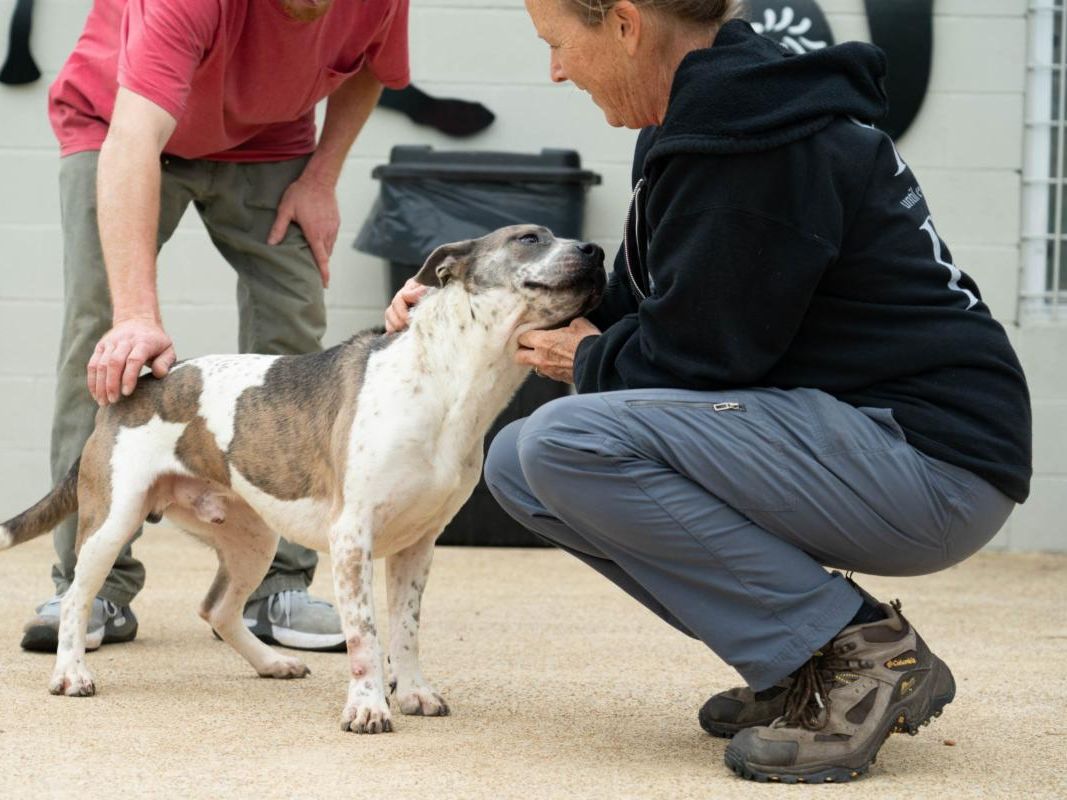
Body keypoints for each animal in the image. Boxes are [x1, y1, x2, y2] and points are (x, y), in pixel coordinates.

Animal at [1, 224, 605, 733]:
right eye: (529, 238)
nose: (597, 250)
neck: (449, 380)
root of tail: (138, 386)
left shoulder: (419, 545)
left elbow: (405, 629)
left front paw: (412, 692)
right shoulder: (353, 538)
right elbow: (365, 635)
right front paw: (368, 706)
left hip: (253, 538)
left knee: (217, 609)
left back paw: (271, 663)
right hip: (114, 521)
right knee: (76, 598)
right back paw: (70, 673)